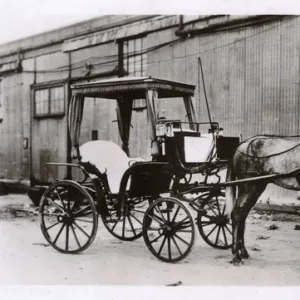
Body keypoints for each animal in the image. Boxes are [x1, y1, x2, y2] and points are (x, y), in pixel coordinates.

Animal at [226, 135, 300, 264]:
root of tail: (241, 145)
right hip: (250, 186)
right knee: (237, 214)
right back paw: (236, 256)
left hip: (253, 187)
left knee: (241, 215)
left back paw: (243, 252)